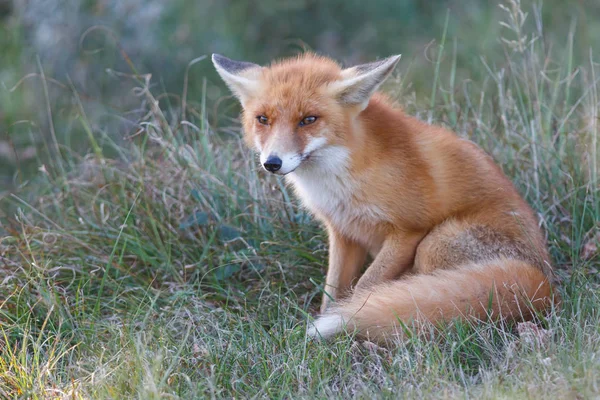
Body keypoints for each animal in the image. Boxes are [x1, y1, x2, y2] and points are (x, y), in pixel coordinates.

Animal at [212, 51, 556, 342]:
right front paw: (328, 321)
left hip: (435, 243)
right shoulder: (343, 233)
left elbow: (363, 290)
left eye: (308, 119)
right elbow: (332, 292)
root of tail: (544, 281)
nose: (273, 163)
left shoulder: (408, 232)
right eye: (263, 119)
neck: (339, 177)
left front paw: (347, 322)